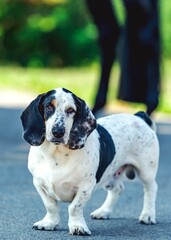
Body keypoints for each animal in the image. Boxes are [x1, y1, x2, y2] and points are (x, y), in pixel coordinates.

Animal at [20, 87, 160, 235]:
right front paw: (49, 223)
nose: (58, 131)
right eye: (48, 107)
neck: (56, 155)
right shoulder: (39, 184)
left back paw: (148, 215)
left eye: (71, 110)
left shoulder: (85, 187)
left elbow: (74, 207)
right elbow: (51, 206)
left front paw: (78, 226)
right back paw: (103, 212)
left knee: (151, 189)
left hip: (146, 171)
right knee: (117, 189)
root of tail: (140, 117)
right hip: (110, 175)